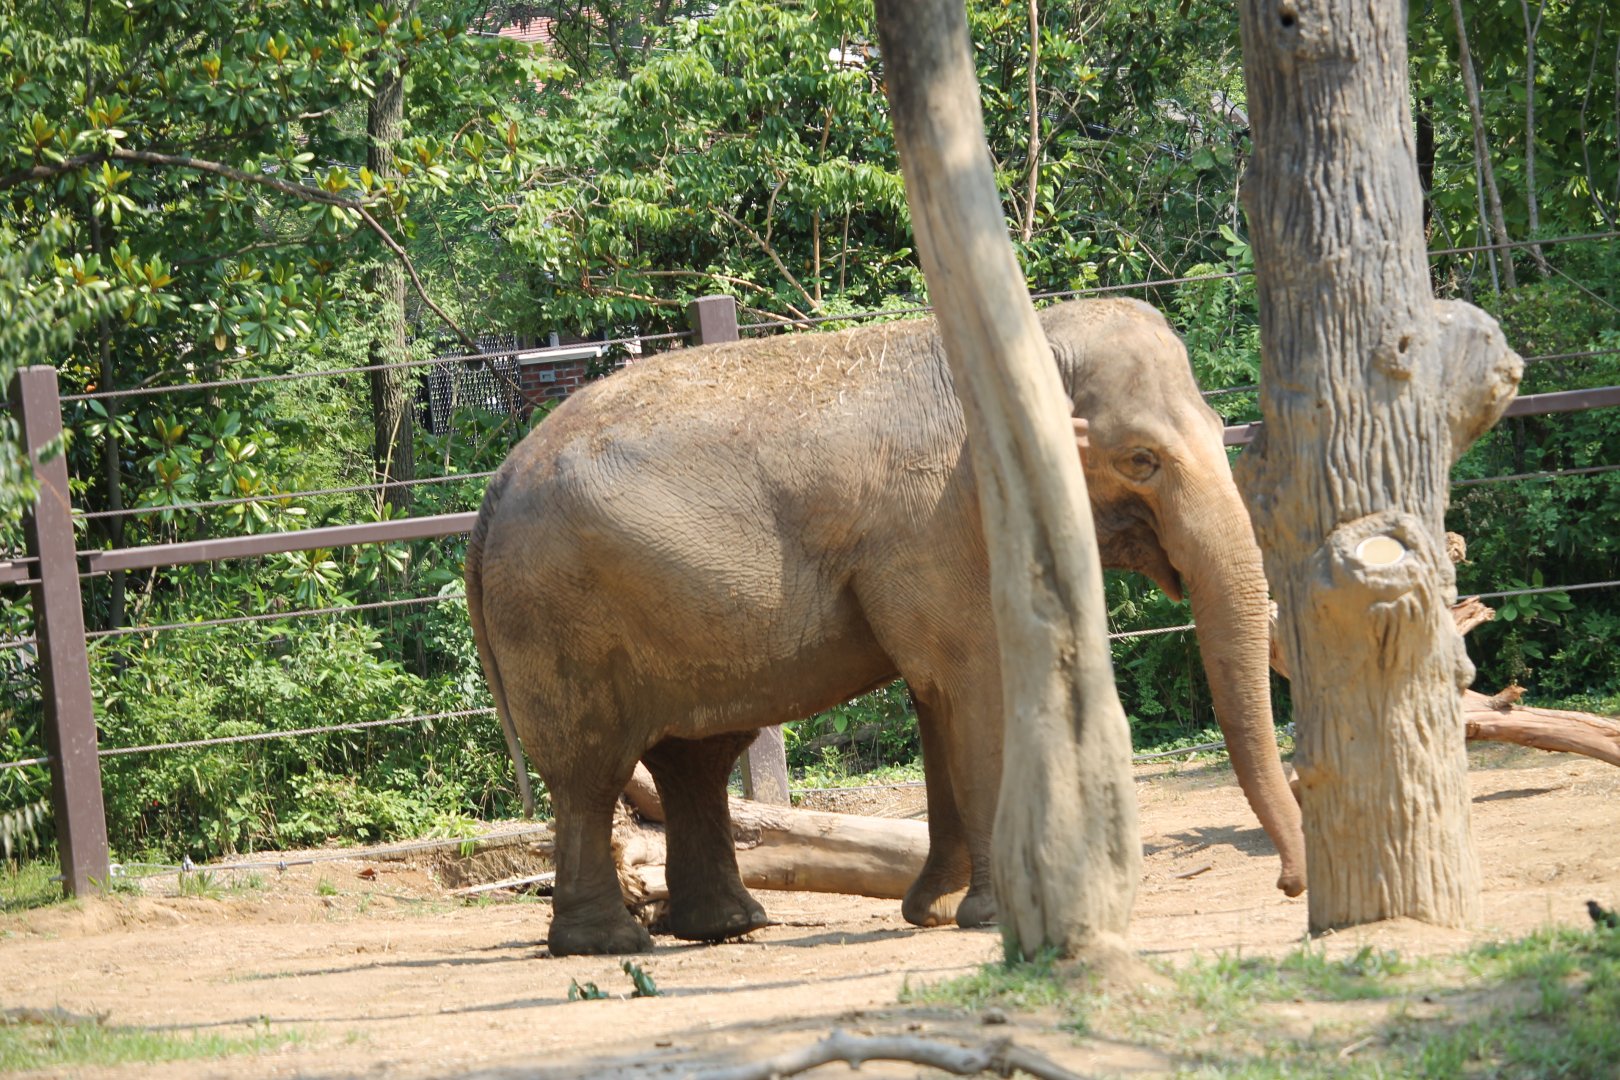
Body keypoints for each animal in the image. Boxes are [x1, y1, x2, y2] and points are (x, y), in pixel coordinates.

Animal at [466, 297, 1307, 957]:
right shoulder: (944, 520)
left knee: (692, 759)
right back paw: (611, 943)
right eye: (1141, 460)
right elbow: (972, 679)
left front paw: (933, 912)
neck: (1028, 332)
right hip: (559, 614)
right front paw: (987, 918)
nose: (1289, 884)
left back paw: (729, 926)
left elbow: (940, 697)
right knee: (591, 770)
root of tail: (492, 491)